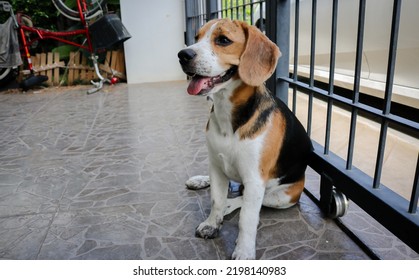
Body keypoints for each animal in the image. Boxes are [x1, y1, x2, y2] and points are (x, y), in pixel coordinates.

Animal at [177, 18, 312, 260]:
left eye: (223, 40)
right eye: (196, 38)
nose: (183, 55)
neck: (228, 117)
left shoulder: (254, 179)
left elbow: (247, 218)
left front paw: (244, 251)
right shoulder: (217, 166)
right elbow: (216, 200)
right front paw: (212, 223)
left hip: (283, 196)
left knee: (245, 200)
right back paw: (202, 181)